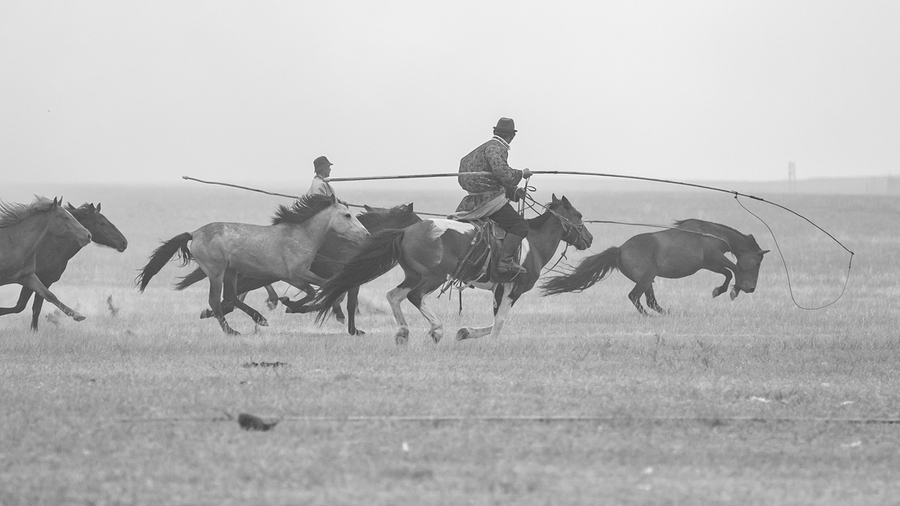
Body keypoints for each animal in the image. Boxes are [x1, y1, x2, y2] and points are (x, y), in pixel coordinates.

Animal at [135, 195, 368, 336]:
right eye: (347, 215)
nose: (365, 234)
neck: (300, 236)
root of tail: (194, 233)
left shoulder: (295, 277)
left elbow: (320, 289)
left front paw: (290, 304)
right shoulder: (296, 274)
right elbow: (320, 288)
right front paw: (291, 304)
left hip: (230, 271)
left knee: (230, 296)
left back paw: (260, 318)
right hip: (216, 272)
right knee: (215, 301)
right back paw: (232, 331)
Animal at [178, 202, 424, 336]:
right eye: (417, 219)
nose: (428, 232)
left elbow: (339, 299)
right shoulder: (344, 278)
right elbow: (341, 300)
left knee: (231, 296)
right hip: (255, 275)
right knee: (229, 296)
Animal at [310, 195, 592, 344]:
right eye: (578, 215)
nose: (589, 239)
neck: (532, 243)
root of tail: (405, 231)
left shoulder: (499, 288)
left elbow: (494, 318)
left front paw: (466, 332)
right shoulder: (515, 288)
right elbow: (500, 320)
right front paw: (491, 343)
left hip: (414, 275)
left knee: (394, 296)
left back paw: (403, 332)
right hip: (433, 277)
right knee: (413, 297)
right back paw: (436, 329)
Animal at [540, 218, 768, 314]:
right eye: (757, 261)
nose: (751, 288)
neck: (711, 233)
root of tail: (620, 249)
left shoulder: (710, 263)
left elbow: (728, 273)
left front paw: (722, 290)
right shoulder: (715, 258)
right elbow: (734, 270)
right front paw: (731, 291)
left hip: (648, 279)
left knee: (649, 301)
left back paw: (666, 313)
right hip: (646, 278)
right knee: (635, 297)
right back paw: (651, 316)